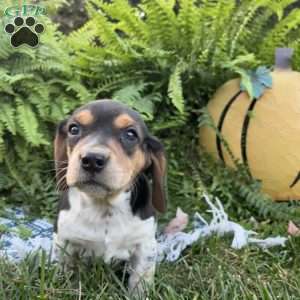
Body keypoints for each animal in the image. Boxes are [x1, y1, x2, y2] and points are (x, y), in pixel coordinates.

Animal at [53, 99, 168, 294]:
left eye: (130, 134)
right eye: (74, 129)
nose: (92, 159)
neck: (104, 207)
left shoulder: (145, 246)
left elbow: (140, 282)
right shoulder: (63, 240)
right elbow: (63, 273)